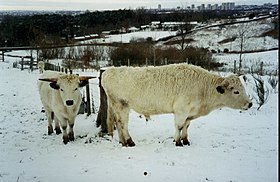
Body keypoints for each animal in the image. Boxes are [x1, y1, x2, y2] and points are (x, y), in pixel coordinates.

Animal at [101, 63, 253, 146]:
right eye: (236, 91)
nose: (250, 104)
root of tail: (109, 71)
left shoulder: (189, 113)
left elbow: (186, 126)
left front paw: (186, 141)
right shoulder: (181, 110)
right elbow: (179, 126)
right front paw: (178, 142)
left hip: (118, 106)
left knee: (118, 123)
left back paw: (123, 142)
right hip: (121, 105)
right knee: (123, 124)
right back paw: (130, 142)